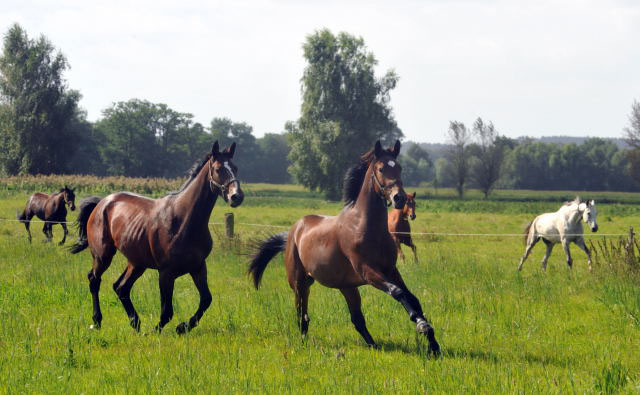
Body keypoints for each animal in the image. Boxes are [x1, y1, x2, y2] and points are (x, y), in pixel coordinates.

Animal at [67, 142, 242, 334]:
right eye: (218, 169)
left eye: (235, 168)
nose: (237, 196)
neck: (184, 220)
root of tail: (101, 203)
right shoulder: (166, 273)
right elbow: (167, 311)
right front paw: (157, 331)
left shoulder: (198, 267)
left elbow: (206, 300)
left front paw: (183, 327)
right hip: (102, 256)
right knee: (94, 280)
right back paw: (97, 321)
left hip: (137, 263)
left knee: (121, 287)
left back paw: (135, 323)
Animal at [249, 141, 440, 358]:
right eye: (381, 169)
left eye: (399, 167)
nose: (398, 198)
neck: (365, 227)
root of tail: (294, 231)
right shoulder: (368, 272)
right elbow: (398, 292)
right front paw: (422, 326)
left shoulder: (391, 270)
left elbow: (412, 297)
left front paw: (433, 341)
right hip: (299, 283)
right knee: (301, 314)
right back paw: (304, 342)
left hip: (347, 287)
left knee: (356, 319)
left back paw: (374, 345)